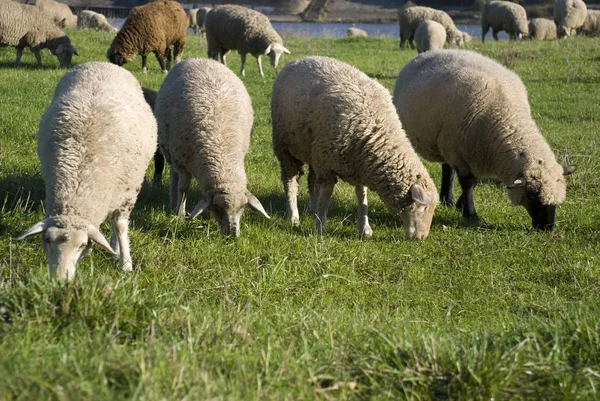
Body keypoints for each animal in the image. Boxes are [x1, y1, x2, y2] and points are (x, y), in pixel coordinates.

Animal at [17, 63, 157, 282]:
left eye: (82, 245)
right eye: (46, 240)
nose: (59, 280)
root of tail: (102, 64)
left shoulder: (127, 192)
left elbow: (120, 226)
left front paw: (126, 264)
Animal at [155, 57, 270, 236]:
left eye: (242, 208)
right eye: (217, 208)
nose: (232, 235)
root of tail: (199, 59)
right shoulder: (182, 160)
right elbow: (183, 188)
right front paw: (180, 214)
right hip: (171, 151)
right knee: (174, 177)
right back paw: (173, 204)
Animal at [272, 55, 436, 238]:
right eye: (424, 207)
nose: (422, 238)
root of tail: (299, 59)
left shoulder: (358, 165)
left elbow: (362, 197)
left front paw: (364, 228)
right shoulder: (327, 166)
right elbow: (326, 196)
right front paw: (321, 226)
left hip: (312, 149)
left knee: (312, 179)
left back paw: (312, 209)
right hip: (285, 147)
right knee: (290, 181)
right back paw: (294, 216)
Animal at [392, 49, 576, 231]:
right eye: (532, 195)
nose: (548, 228)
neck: (506, 116)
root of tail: (429, 52)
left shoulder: (477, 153)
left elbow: (474, 181)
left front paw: (460, 205)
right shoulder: (459, 152)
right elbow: (467, 183)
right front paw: (471, 214)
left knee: (447, 168)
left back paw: (447, 199)